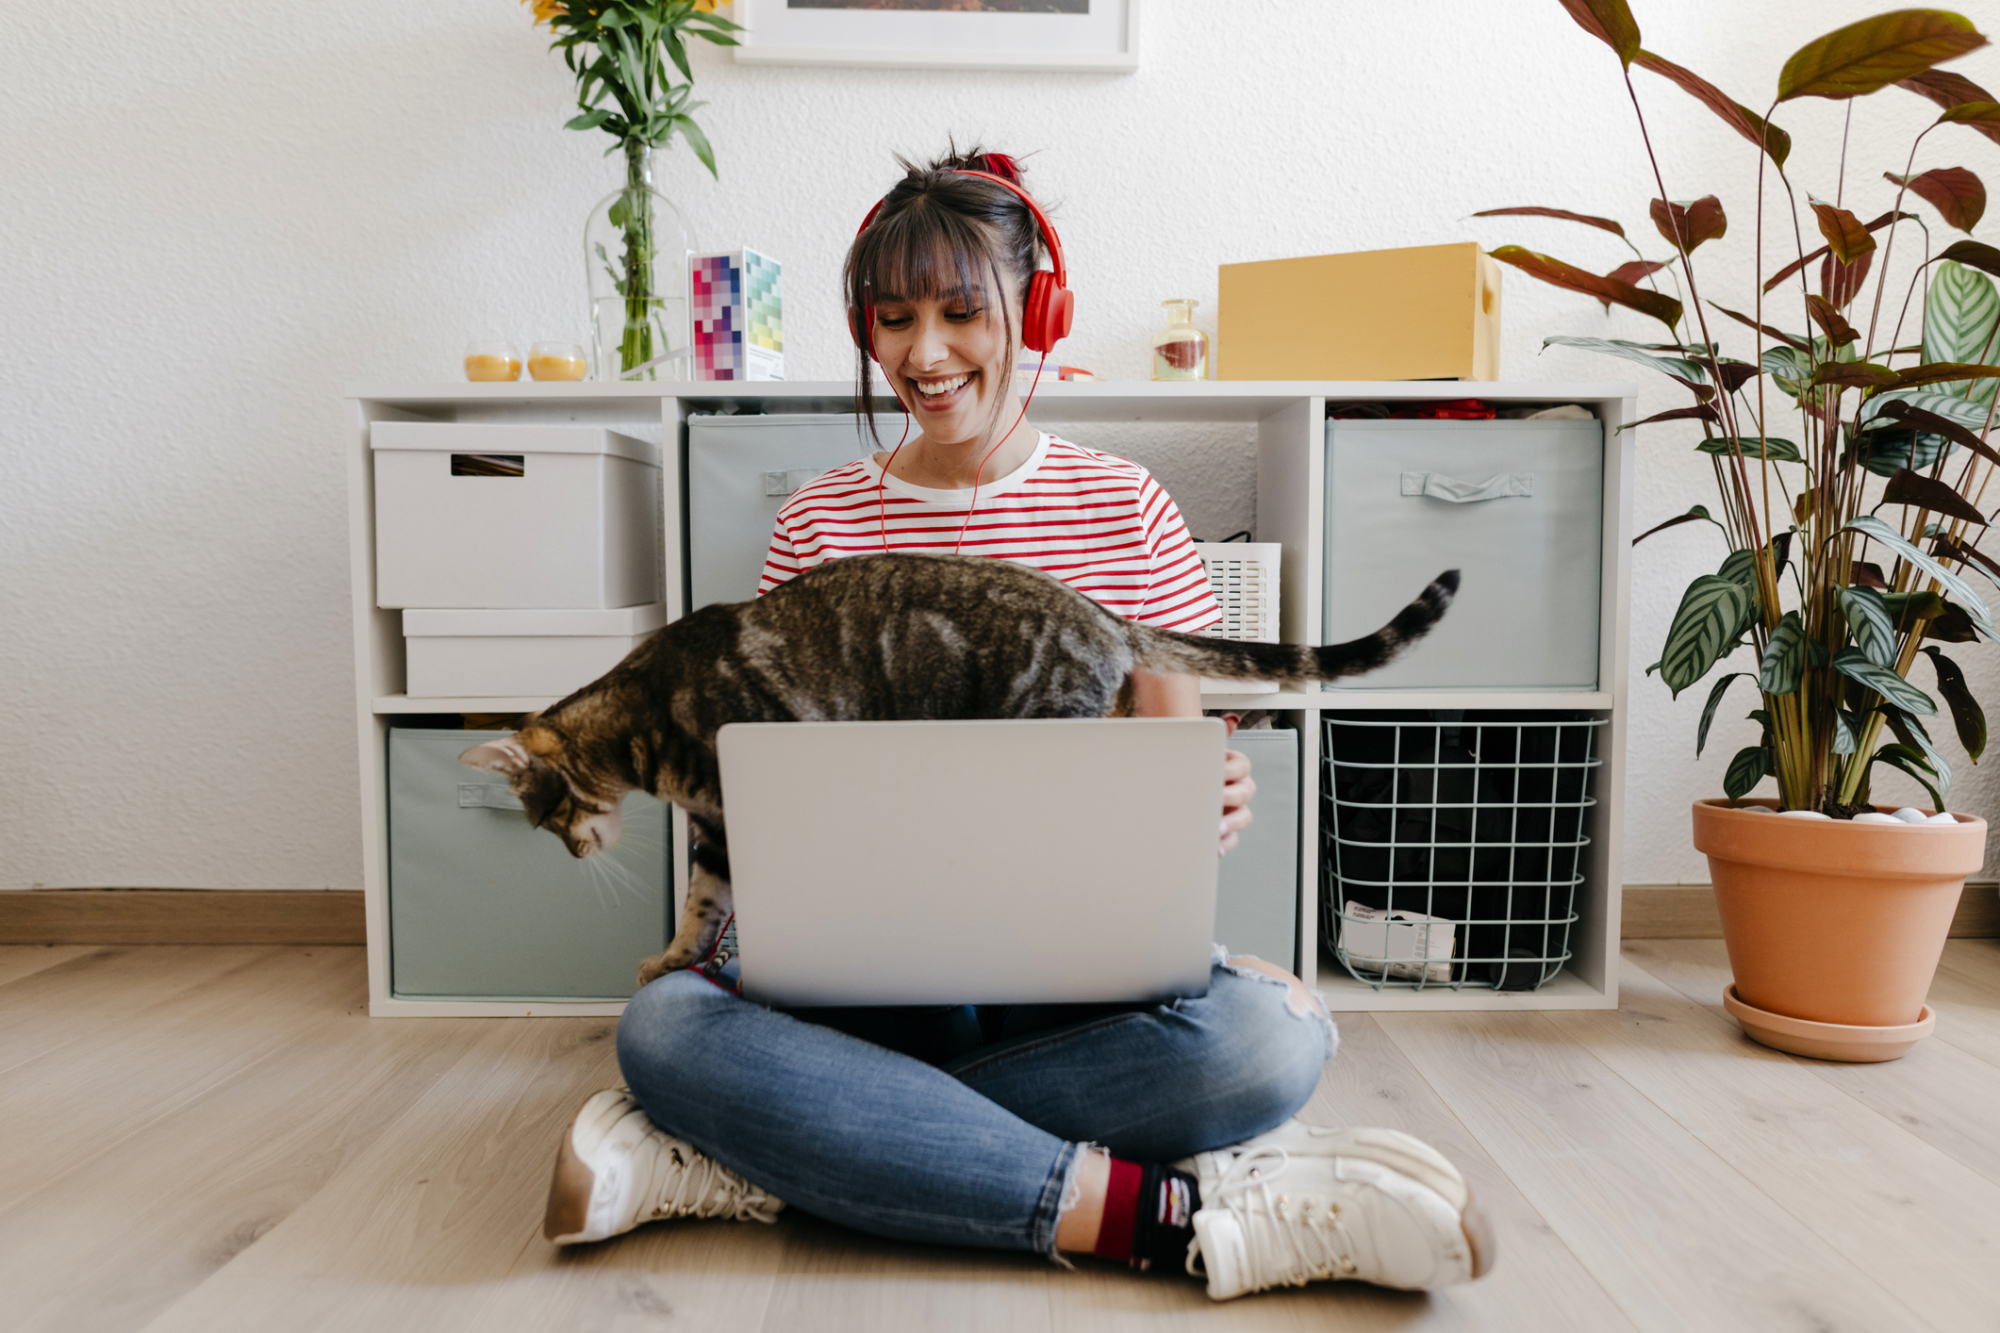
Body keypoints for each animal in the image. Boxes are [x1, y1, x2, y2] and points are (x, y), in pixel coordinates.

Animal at [462, 544, 1456, 980]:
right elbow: (704, 904)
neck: (646, 722)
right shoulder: (716, 826)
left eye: (547, 816)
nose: (573, 851)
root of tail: (1103, 617)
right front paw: (672, 958)